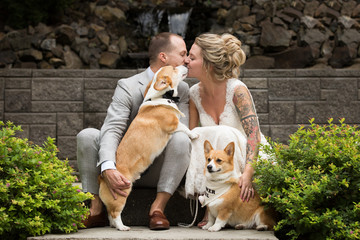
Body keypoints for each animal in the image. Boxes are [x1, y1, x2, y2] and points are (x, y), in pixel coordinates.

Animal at [98, 65, 198, 231]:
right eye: (174, 68)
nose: (185, 64)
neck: (161, 97)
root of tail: (102, 177)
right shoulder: (173, 124)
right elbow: (184, 128)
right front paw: (194, 134)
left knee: (110, 214)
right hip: (122, 193)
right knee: (114, 213)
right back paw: (122, 227)